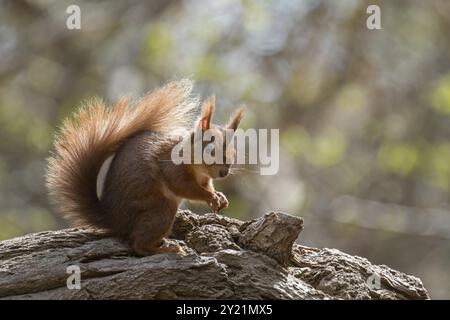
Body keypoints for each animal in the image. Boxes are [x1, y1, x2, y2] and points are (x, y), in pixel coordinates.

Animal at [45, 80, 243, 255]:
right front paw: (211, 197)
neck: (197, 167)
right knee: (138, 245)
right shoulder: (172, 167)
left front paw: (220, 197)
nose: (224, 172)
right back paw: (166, 249)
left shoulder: (205, 178)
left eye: (234, 152)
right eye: (211, 151)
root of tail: (113, 219)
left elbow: (206, 186)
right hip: (160, 209)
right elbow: (183, 186)